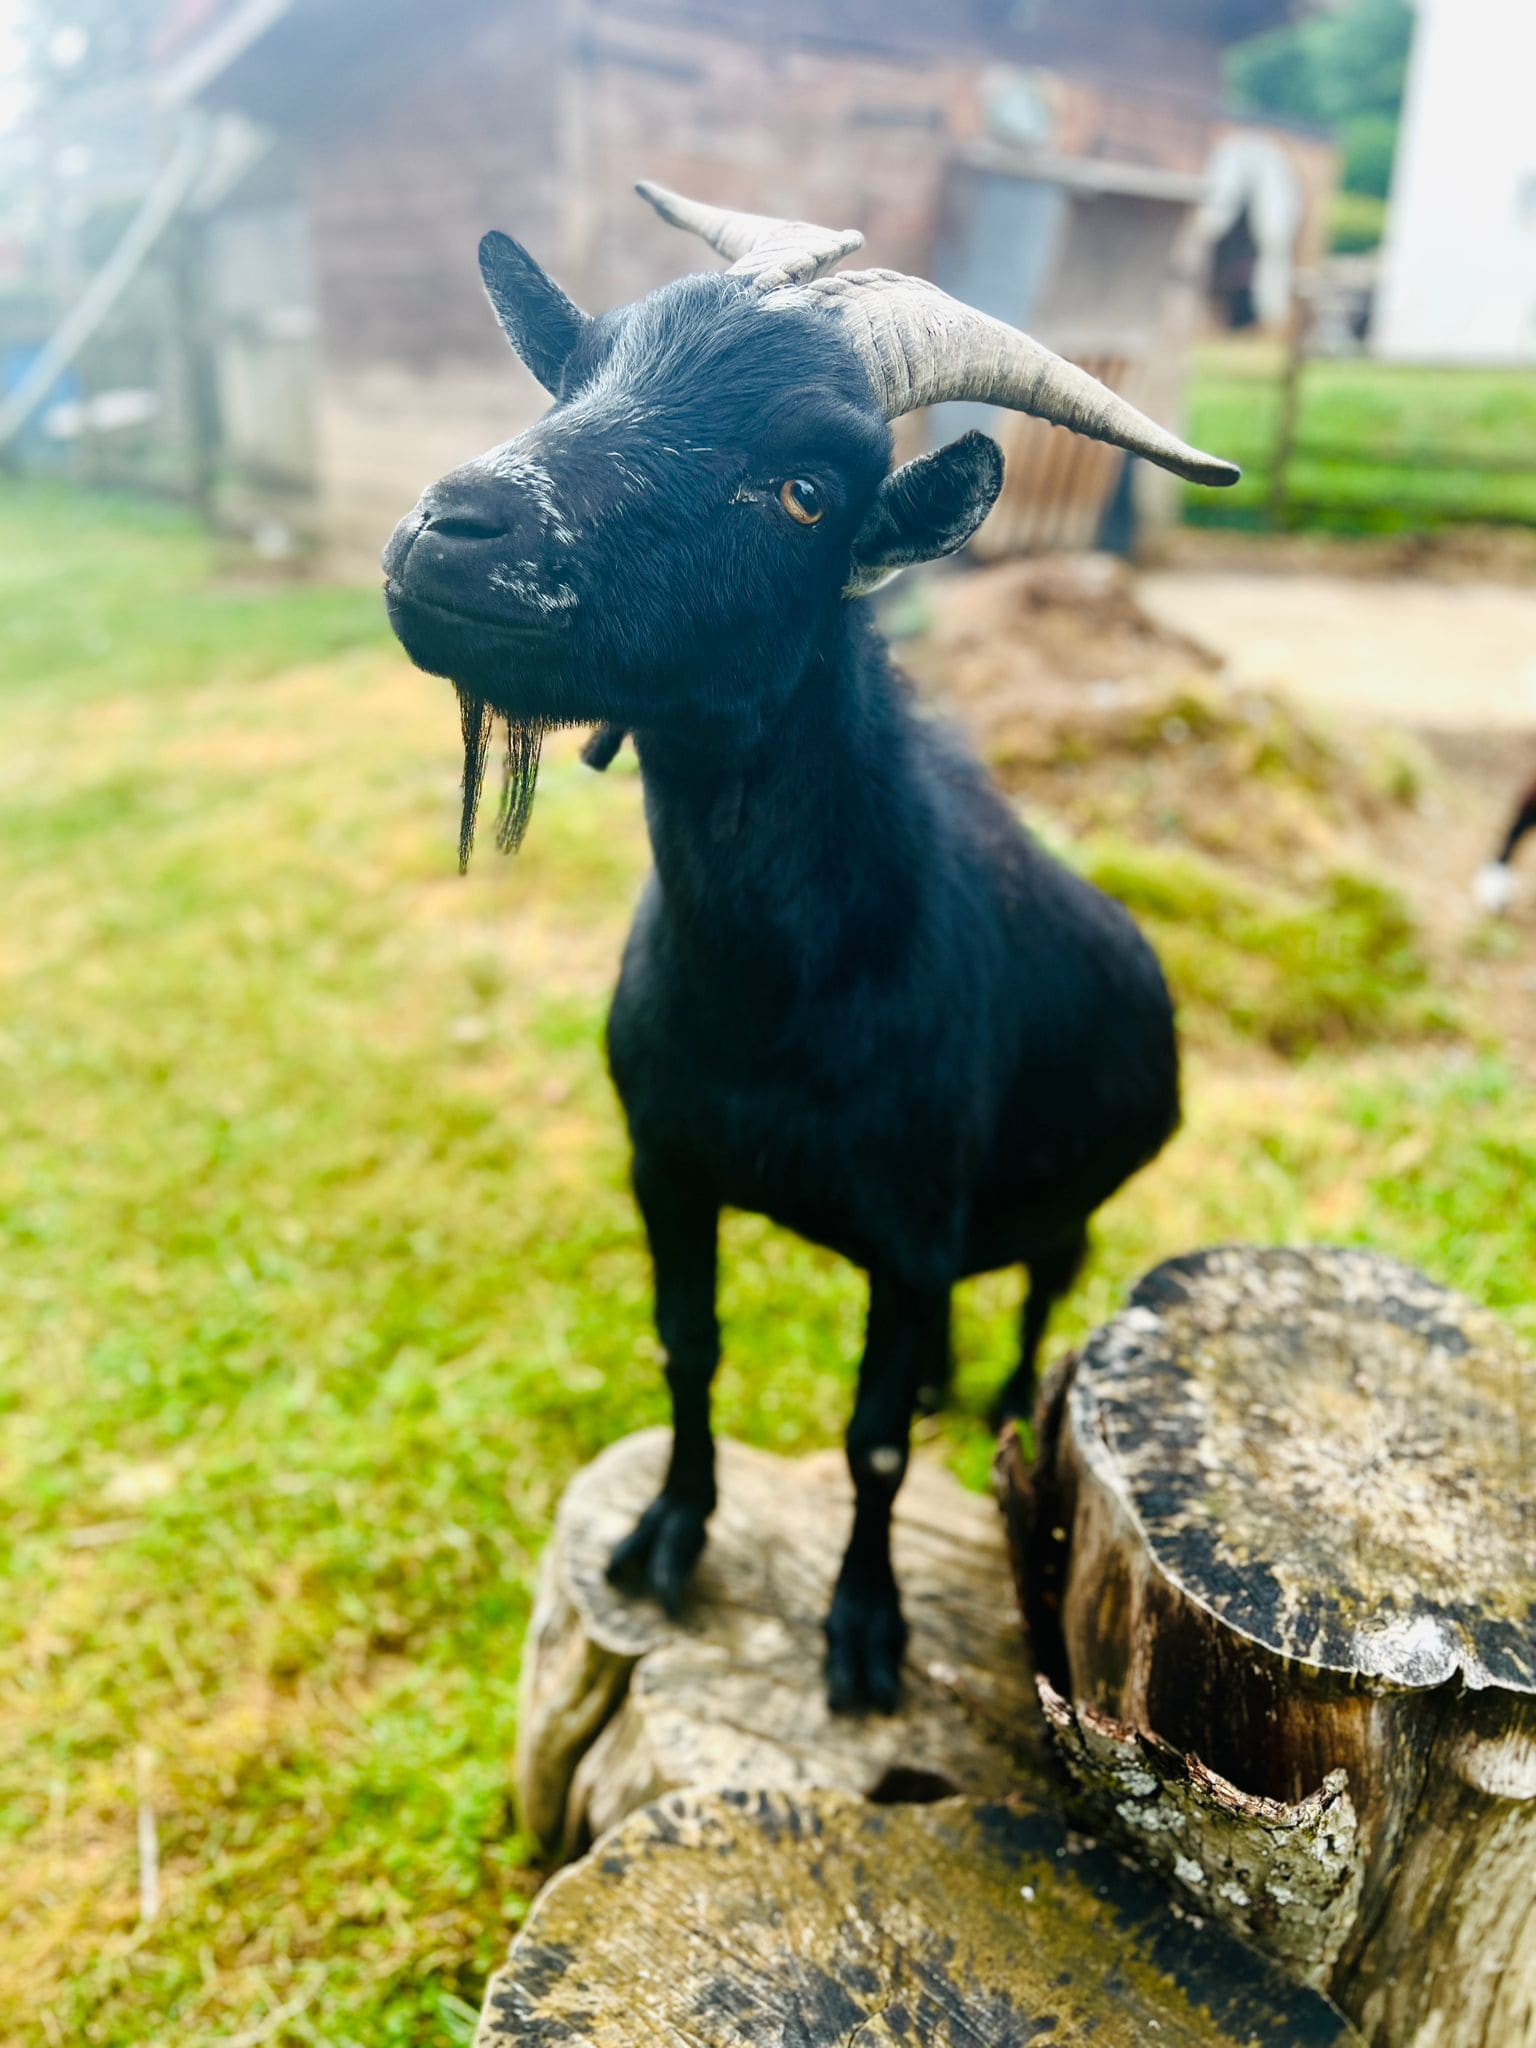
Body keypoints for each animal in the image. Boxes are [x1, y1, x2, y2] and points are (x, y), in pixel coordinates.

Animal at [383, 184, 1239, 1712]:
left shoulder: (908, 1228)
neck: (774, 1004)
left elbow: (875, 1440)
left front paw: (864, 1631)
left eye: (805, 491)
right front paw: (667, 1538)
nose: (453, 531)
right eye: (577, 374)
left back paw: (997, 1395)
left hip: (1065, 1210)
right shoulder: (669, 1163)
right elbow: (689, 1348)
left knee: (1044, 1292)